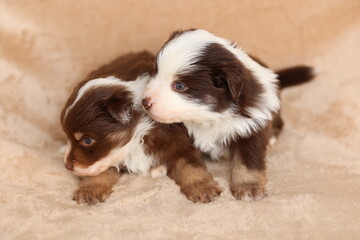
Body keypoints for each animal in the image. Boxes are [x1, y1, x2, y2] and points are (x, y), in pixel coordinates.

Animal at [60, 50, 221, 204]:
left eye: (87, 140)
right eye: (67, 136)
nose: (67, 166)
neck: (139, 137)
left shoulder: (181, 142)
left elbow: (191, 165)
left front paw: (203, 187)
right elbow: (100, 170)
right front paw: (88, 190)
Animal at [141, 30, 316, 202]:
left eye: (179, 86)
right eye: (155, 72)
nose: (145, 102)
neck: (209, 117)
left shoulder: (251, 125)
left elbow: (247, 161)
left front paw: (248, 187)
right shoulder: (180, 137)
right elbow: (188, 163)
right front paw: (201, 186)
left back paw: (272, 136)